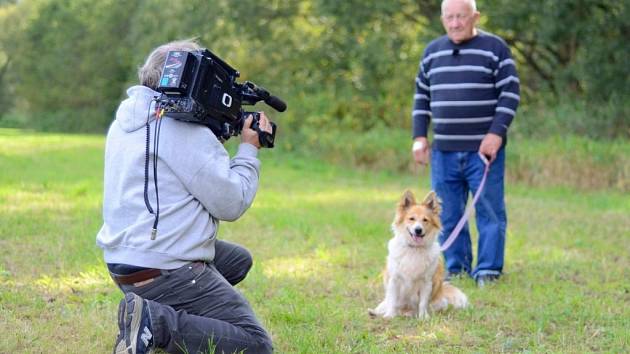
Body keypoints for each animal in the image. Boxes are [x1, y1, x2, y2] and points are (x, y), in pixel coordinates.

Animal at [370, 189, 470, 320]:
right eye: (411, 219)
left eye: (425, 220)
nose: (418, 230)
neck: (414, 249)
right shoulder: (394, 280)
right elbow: (392, 301)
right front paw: (390, 315)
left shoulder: (426, 282)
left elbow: (422, 302)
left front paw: (423, 317)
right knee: (386, 304)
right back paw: (376, 312)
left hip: (439, 301)